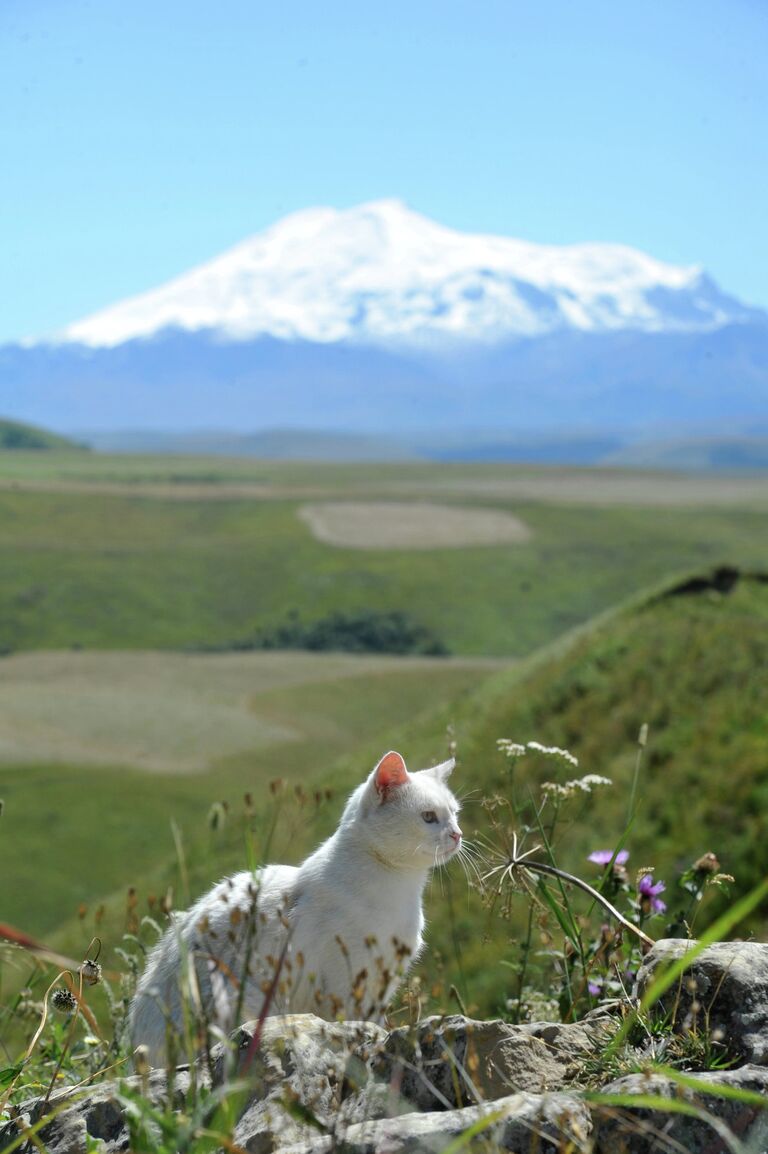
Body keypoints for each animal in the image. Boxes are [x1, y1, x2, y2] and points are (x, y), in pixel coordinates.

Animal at [128, 747, 461, 1061]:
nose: (457, 834)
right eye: (429, 816)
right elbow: (355, 1020)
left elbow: (375, 1020)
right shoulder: (347, 980)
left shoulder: (382, 983)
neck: (401, 888)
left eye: (455, 813)